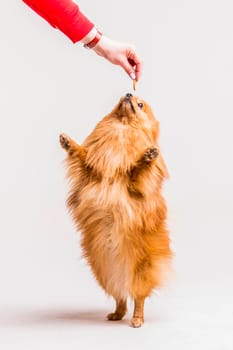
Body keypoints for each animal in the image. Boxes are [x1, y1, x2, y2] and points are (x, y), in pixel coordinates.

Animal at [59, 93, 172, 328]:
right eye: (126, 96)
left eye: (140, 105)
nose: (129, 93)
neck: (121, 129)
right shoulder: (89, 171)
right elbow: (80, 156)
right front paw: (68, 142)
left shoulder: (136, 187)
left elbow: (139, 172)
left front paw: (147, 157)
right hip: (105, 273)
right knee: (120, 297)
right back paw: (117, 314)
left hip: (140, 271)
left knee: (138, 298)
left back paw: (137, 319)